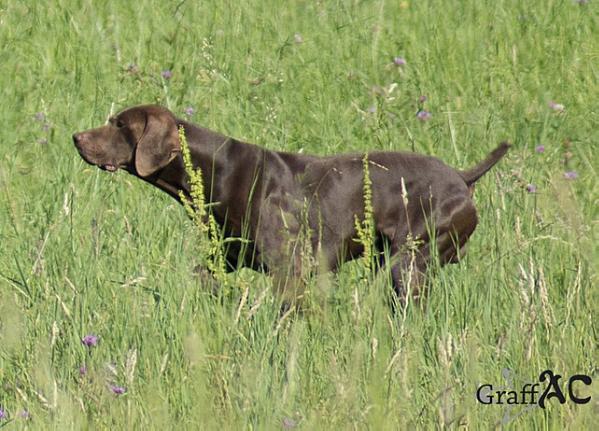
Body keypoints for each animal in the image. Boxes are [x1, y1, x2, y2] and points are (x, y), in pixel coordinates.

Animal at [72, 105, 508, 304]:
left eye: (119, 125)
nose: (76, 137)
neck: (218, 169)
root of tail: (462, 178)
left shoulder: (292, 271)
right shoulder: (223, 260)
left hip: (409, 265)